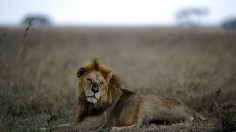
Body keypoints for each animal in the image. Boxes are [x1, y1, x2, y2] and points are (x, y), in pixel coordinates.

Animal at [51, 59, 205, 131]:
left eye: (101, 83)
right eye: (89, 80)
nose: (95, 91)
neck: (88, 104)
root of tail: (190, 108)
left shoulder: (89, 125)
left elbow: (60, 127)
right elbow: (60, 125)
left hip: (146, 102)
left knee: (139, 125)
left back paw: (115, 128)